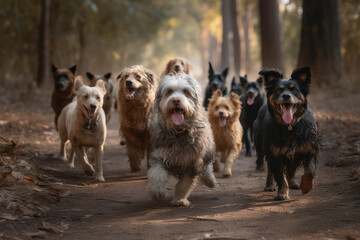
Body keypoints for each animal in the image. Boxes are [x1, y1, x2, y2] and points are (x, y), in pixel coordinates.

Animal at [253, 67, 320, 201]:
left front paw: (306, 186)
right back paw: (269, 185)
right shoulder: (274, 153)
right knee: (271, 170)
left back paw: (293, 183)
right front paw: (283, 193)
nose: (286, 96)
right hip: (262, 144)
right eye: (278, 90)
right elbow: (279, 175)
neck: (290, 126)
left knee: (291, 169)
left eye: (294, 89)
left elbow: (310, 170)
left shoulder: (309, 148)